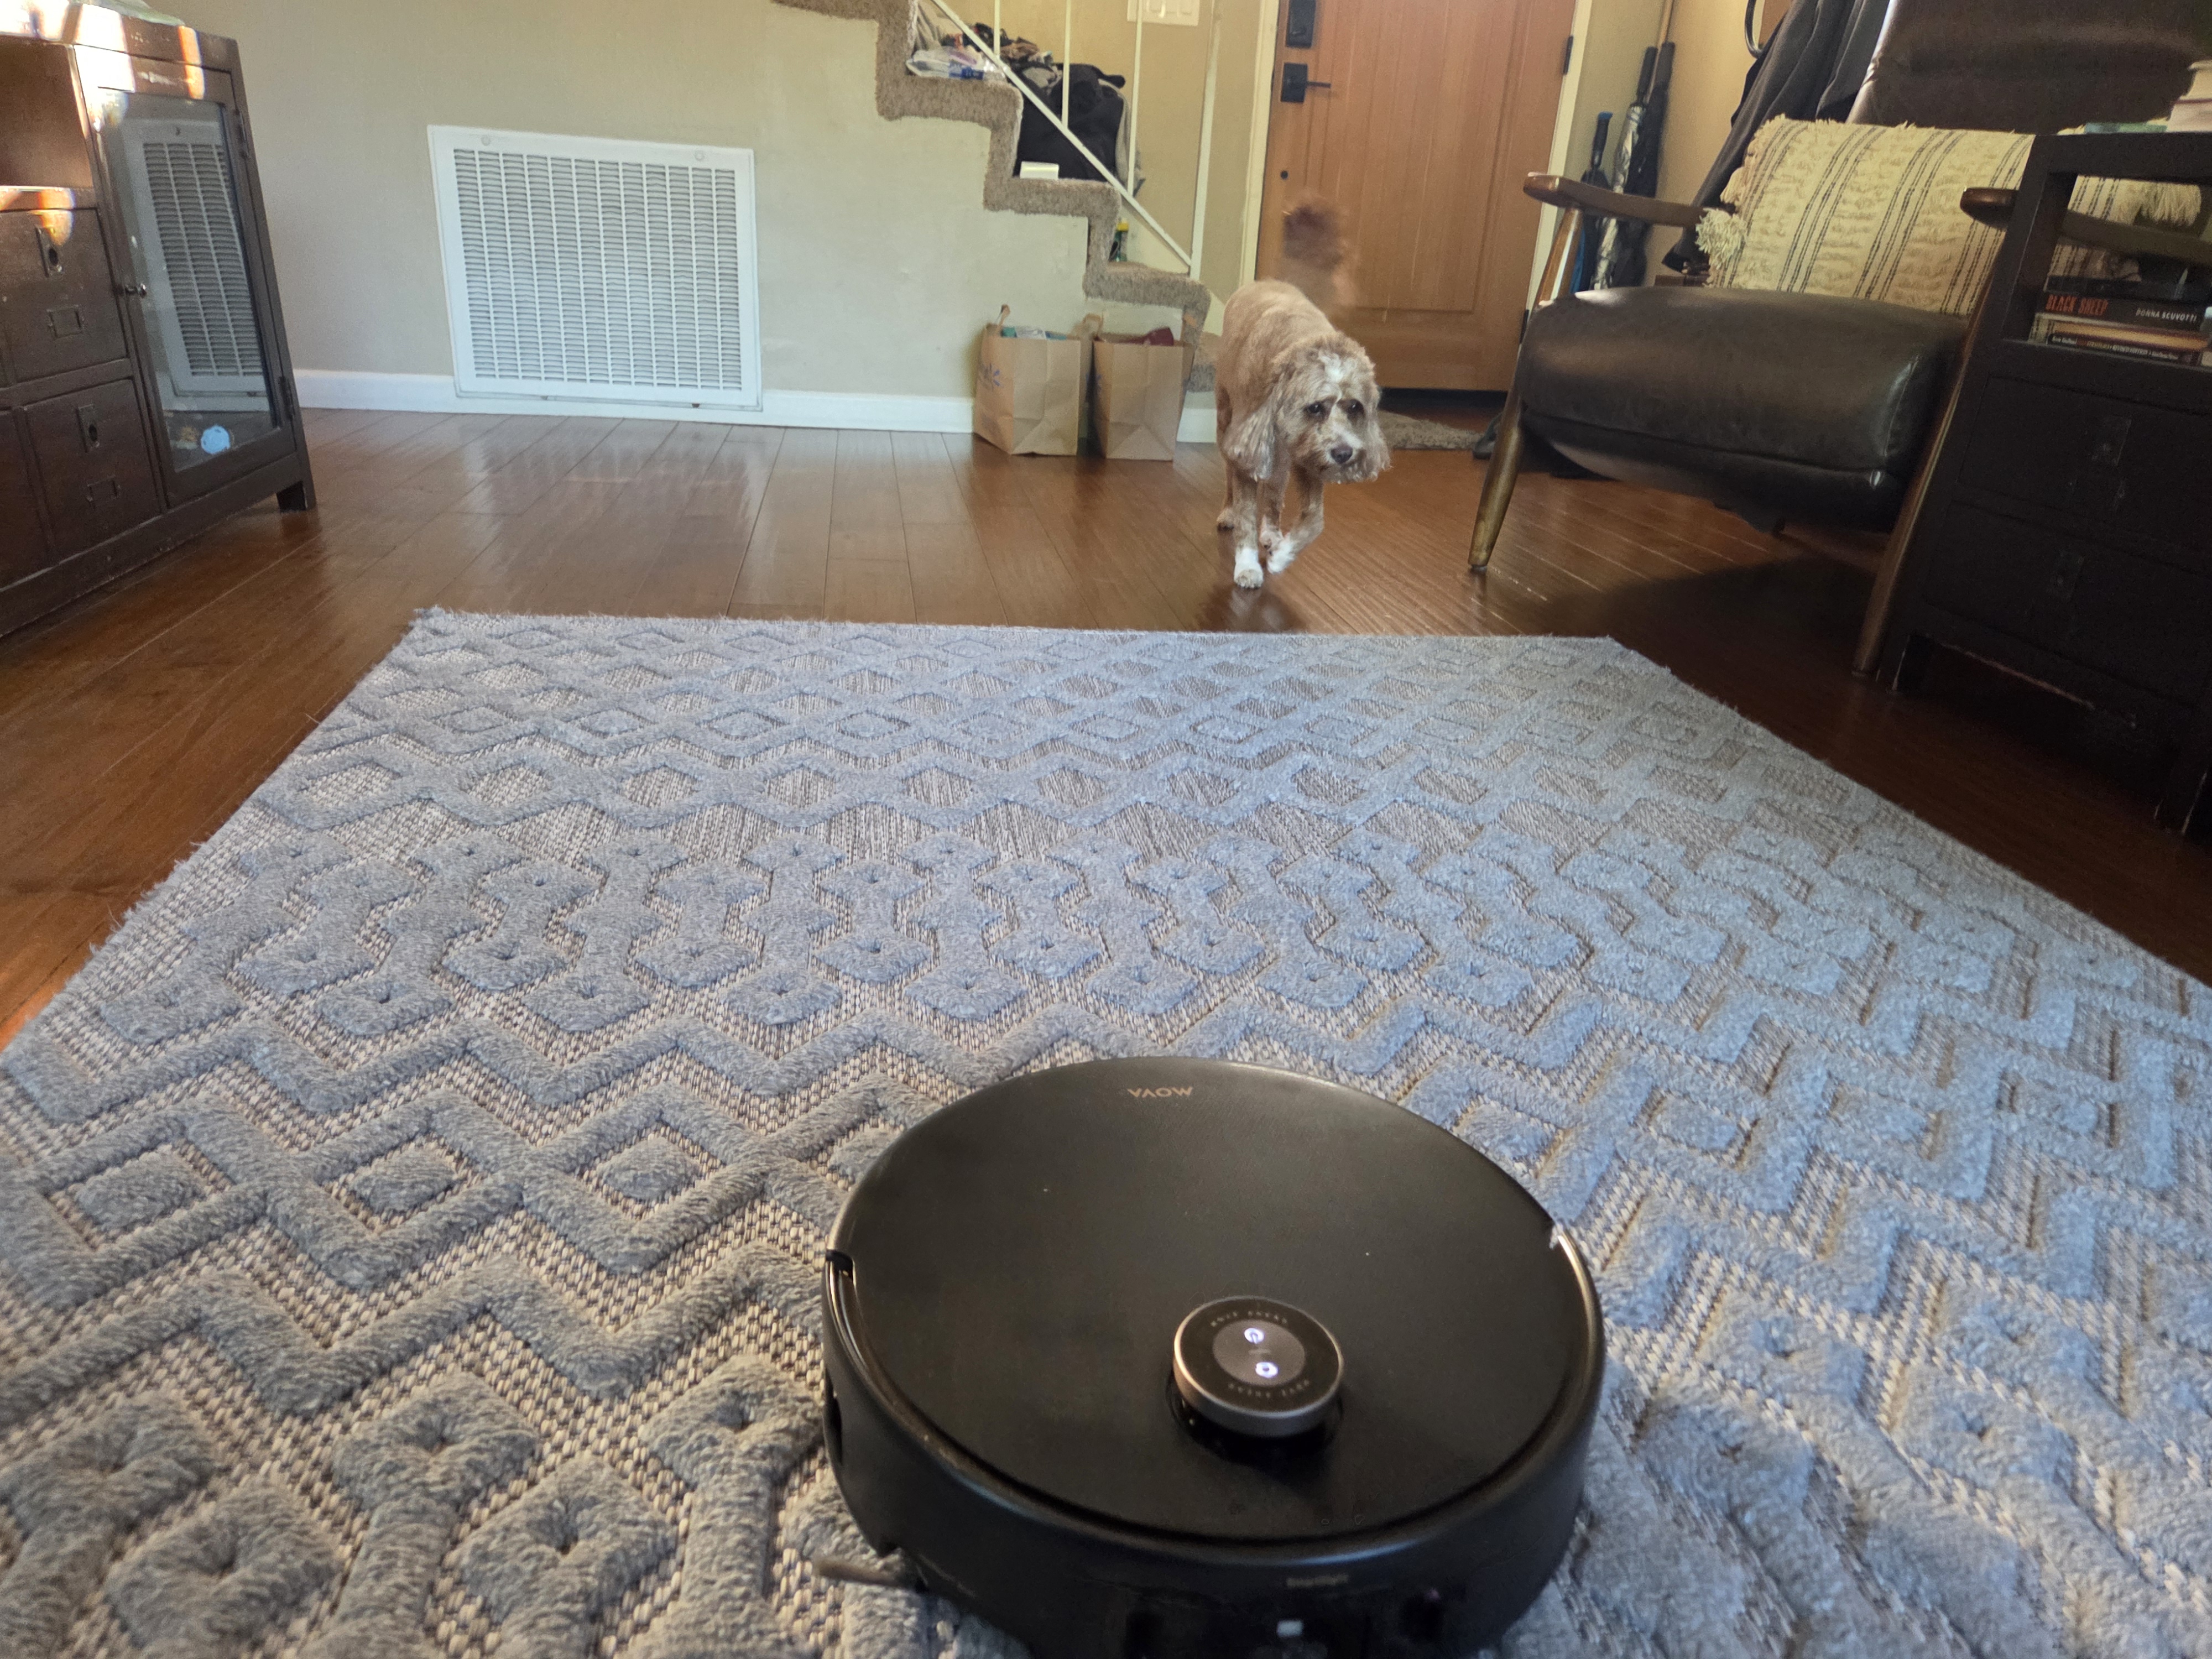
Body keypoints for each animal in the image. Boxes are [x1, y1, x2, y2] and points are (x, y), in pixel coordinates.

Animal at [1213, 201, 1389, 589]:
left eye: (1355, 407)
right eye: (1316, 407)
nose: (1344, 453)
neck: (1300, 338)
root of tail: (1271, 281)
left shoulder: (1310, 461)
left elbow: (1314, 521)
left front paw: (1282, 555)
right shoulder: (1247, 448)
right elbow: (1246, 512)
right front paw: (1247, 566)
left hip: (1281, 461)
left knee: (1274, 496)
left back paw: (1272, 533)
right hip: (1226, 421)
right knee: (1230, 479)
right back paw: (1228, 512)